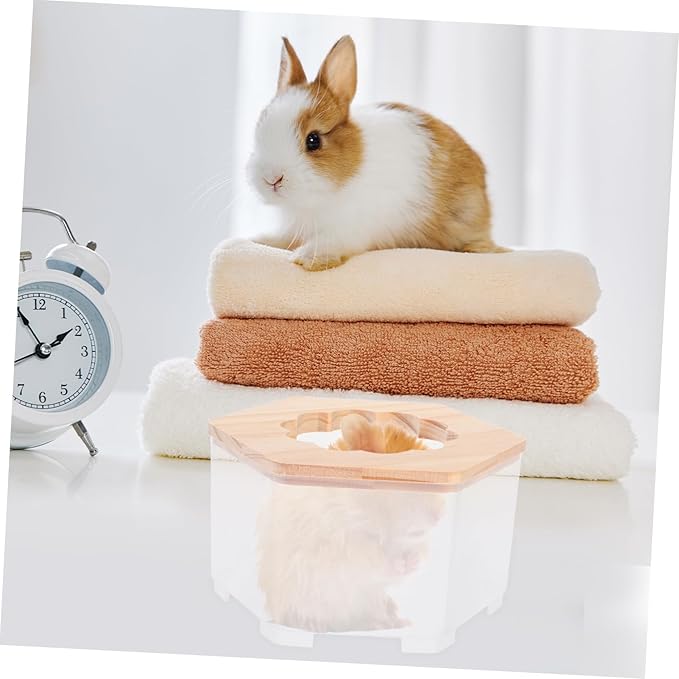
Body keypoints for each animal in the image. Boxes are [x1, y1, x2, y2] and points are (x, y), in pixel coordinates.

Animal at [247, 35, 508, 270]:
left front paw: (311, 259)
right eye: (260, 129)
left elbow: (333, 240)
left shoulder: (352, 226)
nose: (272, 179)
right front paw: (260, 240)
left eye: (314, 141)